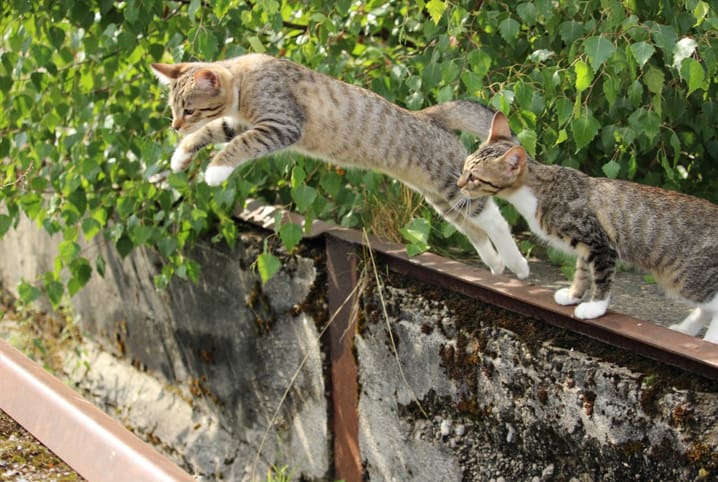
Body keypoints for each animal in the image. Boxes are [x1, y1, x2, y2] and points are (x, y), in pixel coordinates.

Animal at [152, 51, 532, 278]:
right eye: (174, 109)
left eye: (189, 109)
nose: (174, 125)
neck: (245, 80)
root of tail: (428, 115)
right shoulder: (240, 122)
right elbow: (214, 130)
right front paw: (180, 155)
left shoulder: (280, 125)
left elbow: (237, 144)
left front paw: (215, 171)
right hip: (443, 199)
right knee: (474, 228)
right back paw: (495, 262)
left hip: (451, 183)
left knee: (495, 219)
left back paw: (518, 263)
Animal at [462, 110, 718, 342]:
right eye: (464, 167)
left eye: (474, 177)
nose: (460, 183)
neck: (539, 191)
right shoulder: (586, 247)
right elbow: (582, 272)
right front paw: (573, 294)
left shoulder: (600, 243)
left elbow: (602, 278)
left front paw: (595, 307)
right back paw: (686, 330)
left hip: (685, 276)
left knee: (714, 301)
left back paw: (710, 338)